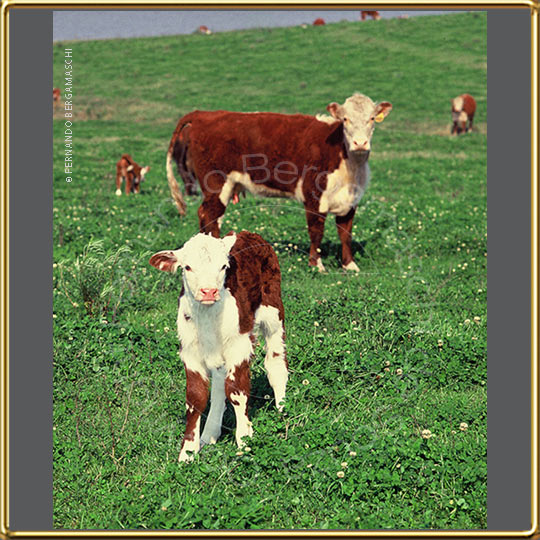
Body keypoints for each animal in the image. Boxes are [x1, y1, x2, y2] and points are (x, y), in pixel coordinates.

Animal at [149, 230, 286, 462]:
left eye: (223, 267)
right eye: (187, 267)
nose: (209, 291)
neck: (208, 315)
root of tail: (249, 234)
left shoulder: (239, 346)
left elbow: (237, 391)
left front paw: (244, 441)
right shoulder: (190, 352)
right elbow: (196, 398)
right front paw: (187, 452)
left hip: (273, 312)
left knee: (275, 364)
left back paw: (282, 410)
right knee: (219, 387)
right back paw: (209, 435)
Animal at [166, 94, 392, 274]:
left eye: (372, 118)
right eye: (345, 119)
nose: (360, 143)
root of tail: (202, 114)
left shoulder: (351, 199)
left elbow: (345, 233)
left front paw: (350, 265)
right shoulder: (313, 195)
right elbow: (316, 231)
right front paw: (316, 265)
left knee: (212, 217)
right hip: (216, 183)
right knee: (208, 216)